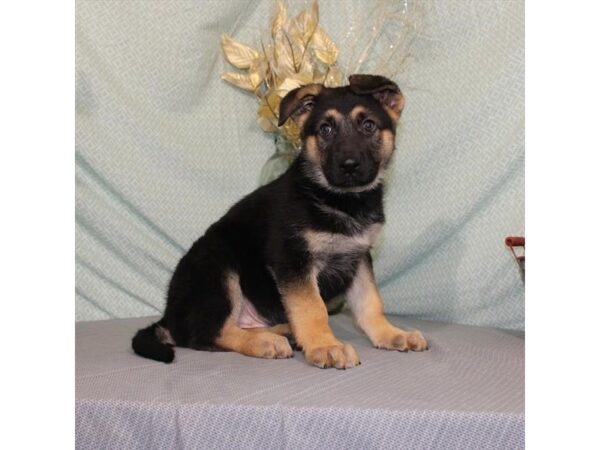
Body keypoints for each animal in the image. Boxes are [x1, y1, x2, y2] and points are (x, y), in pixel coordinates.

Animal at [134, 74, 428, 370]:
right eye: (325, 130)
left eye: (368, 126)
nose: (349, 165)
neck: (341, 201)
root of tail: (168, 318)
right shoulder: (293, 260)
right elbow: (312, 308)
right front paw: (325, 346)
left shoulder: (358, 258)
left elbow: (371, 302)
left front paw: (390, 334)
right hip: (218, 265)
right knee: (206, 333)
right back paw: (266, 342)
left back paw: (285, 332)